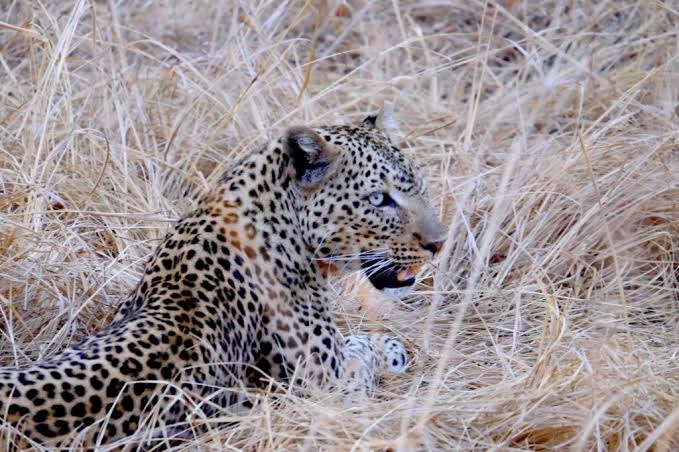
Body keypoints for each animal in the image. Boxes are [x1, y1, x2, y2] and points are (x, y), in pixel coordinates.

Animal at [0, 103, 447, 448]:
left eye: (421, 186)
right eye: (379, 199)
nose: (440, 243)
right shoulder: (326, 389)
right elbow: (362, 356)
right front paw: (390, 348)